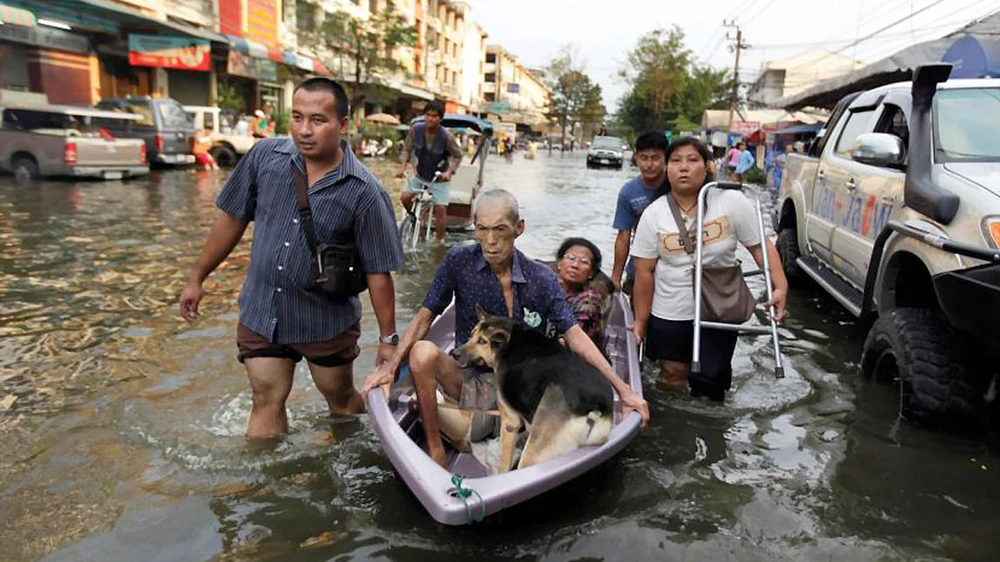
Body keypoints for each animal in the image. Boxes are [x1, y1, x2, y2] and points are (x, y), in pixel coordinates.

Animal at [456, 306, 612, 472]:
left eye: (482, 341)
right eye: (471, 335)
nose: (454, 353)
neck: (511, 342)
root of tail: (595, 408)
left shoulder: (509, 423)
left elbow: (504, 463)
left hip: (532, 452)